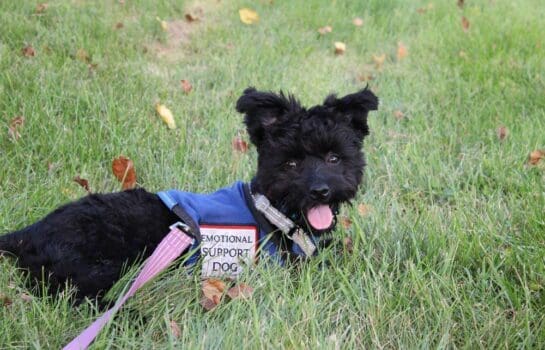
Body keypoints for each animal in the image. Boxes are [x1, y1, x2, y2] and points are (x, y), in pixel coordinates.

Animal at [0, 87, 378, 300]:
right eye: (292, 163)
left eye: (333, 158)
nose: (320, 191)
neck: (271, 212)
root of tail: (25, 235)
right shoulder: (278, 269)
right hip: (94, 271)